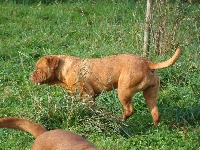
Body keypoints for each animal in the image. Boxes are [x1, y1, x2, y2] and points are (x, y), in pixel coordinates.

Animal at [30, 47, 181, 125]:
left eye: (38, 69)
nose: (30, 76)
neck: (64, 67)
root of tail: (148, 63)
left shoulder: (87, 94)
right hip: (150, 94)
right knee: (155, 113)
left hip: (123, 91)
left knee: (129, 110)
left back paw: (120, 121)